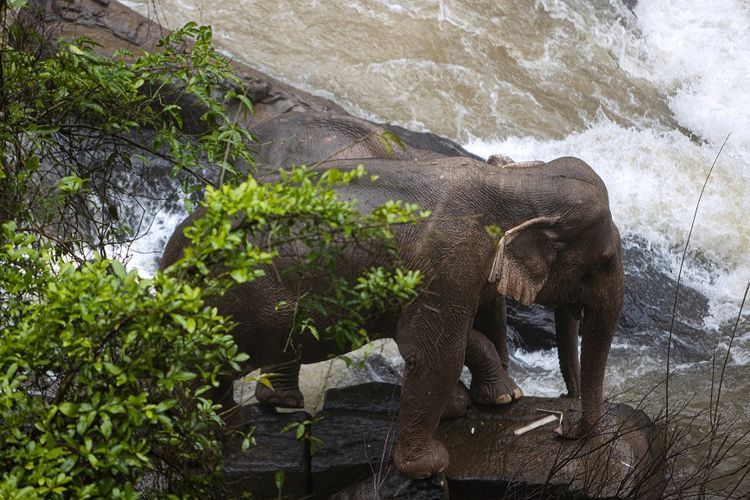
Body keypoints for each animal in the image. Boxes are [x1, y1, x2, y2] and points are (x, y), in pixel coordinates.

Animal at [162, 154, 624, 478]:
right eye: (603, 261)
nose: (563, 426)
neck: (516, 182)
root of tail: (172, 257)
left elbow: (461, 333)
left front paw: (482, 401)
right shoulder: (449, 263)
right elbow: (433, 353)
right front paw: (432, 465)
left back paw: (256, 416)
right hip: (242, 302)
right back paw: (220, 434)